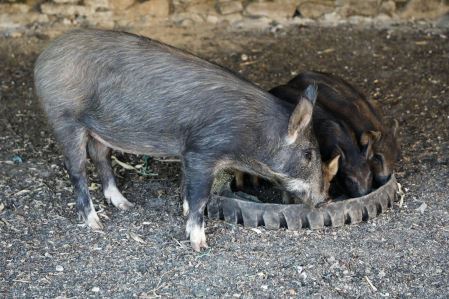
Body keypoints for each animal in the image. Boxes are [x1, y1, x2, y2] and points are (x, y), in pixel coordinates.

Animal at [33, 29, 324, 252]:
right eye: (308, 154)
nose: (322, 200)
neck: (251, 133)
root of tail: (44, 56)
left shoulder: (189, 154)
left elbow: (186, 187)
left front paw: (183, 212)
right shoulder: (202, 151)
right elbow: (199, 197)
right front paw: (200, 245)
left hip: (99, 129)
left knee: (101, 157)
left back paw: (125, 205)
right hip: (64, 120)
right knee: (76, 169)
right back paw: (96, 224)